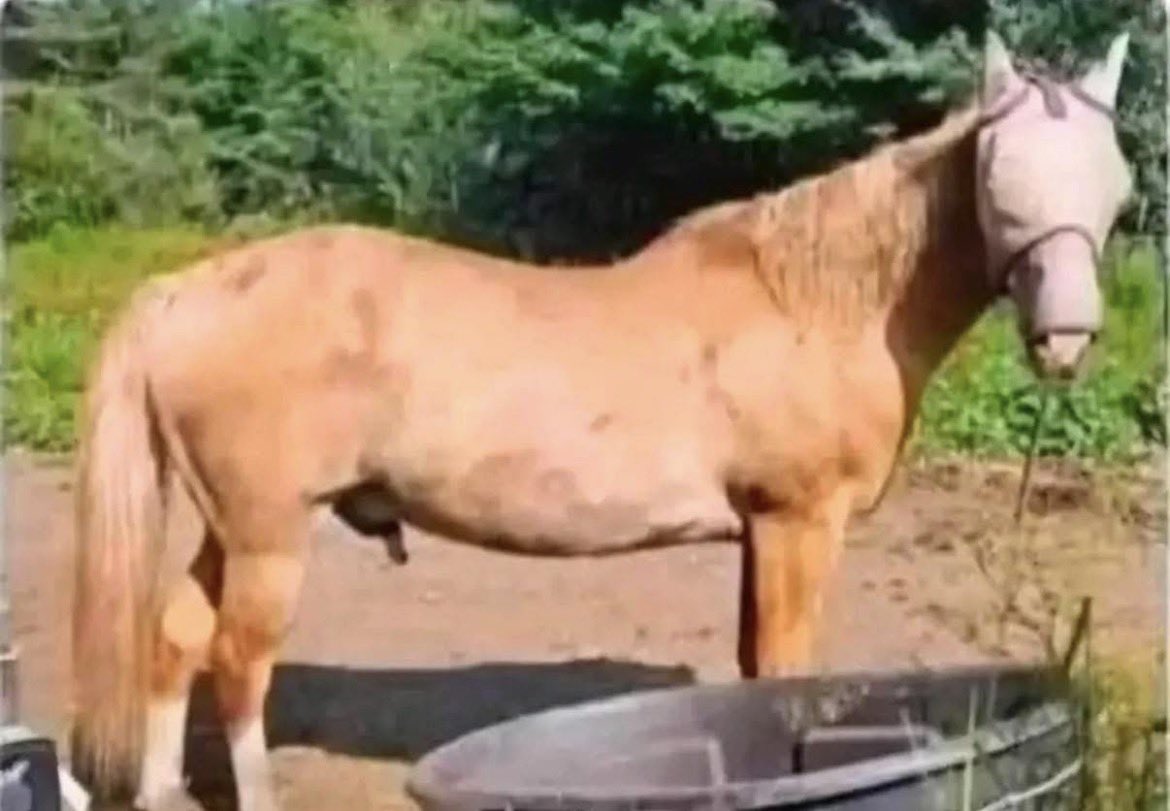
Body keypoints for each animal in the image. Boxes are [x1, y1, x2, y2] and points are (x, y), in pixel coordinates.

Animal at [70, 31, 1133, 811]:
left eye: (1113, 181)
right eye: (999, 177)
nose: (1067, 337)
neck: (813, 300)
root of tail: (185, 289)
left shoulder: (760, 532)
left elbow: (751, 664)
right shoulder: (799, 524)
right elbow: (786, 670)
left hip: (235, 527)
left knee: (174, 639)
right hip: (270, 535)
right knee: (238, 666)